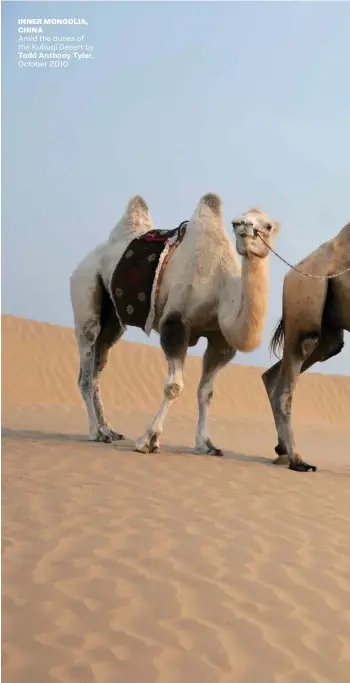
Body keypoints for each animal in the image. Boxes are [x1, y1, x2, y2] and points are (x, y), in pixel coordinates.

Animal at [70, 192, 278, 454]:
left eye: (268, 226)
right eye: (235, 222)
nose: (246, 228)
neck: (221, 291)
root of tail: (84, 262)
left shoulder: (220, 340)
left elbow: (206, 392)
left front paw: (206, 444)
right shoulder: (175, 324)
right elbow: (174, 386)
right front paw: (147, 440)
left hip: (113, 319)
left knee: (101, 358)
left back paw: (108, 429)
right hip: (85, 286)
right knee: (86, 364)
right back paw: (95, 432)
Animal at [262, 222, 348, 472]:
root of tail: (291, 273)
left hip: (327, 329)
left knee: (272, 375)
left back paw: (281, 450)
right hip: (305, 297)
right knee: (285, 386)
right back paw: (297, 460)